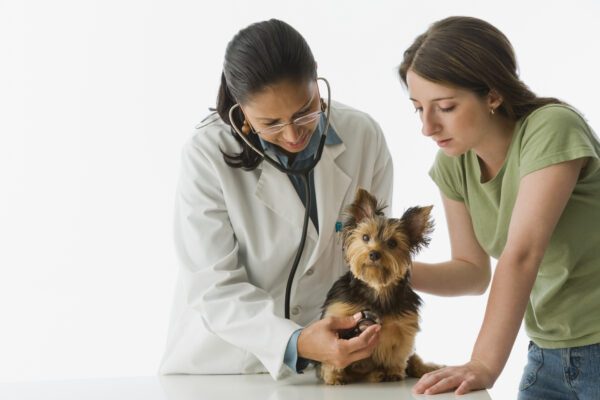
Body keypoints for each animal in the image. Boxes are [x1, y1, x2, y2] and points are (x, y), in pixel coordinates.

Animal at [318, 188, 440, 384]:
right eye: (365, 237)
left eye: (392, 243)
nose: (374, 253)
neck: (377, 287)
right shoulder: (340, 314)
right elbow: (331, 352)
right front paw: (333, 376)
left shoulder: (403, 327)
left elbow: (398, 353)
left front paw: (394, 372)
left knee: (413, 359)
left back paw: (423, 369)